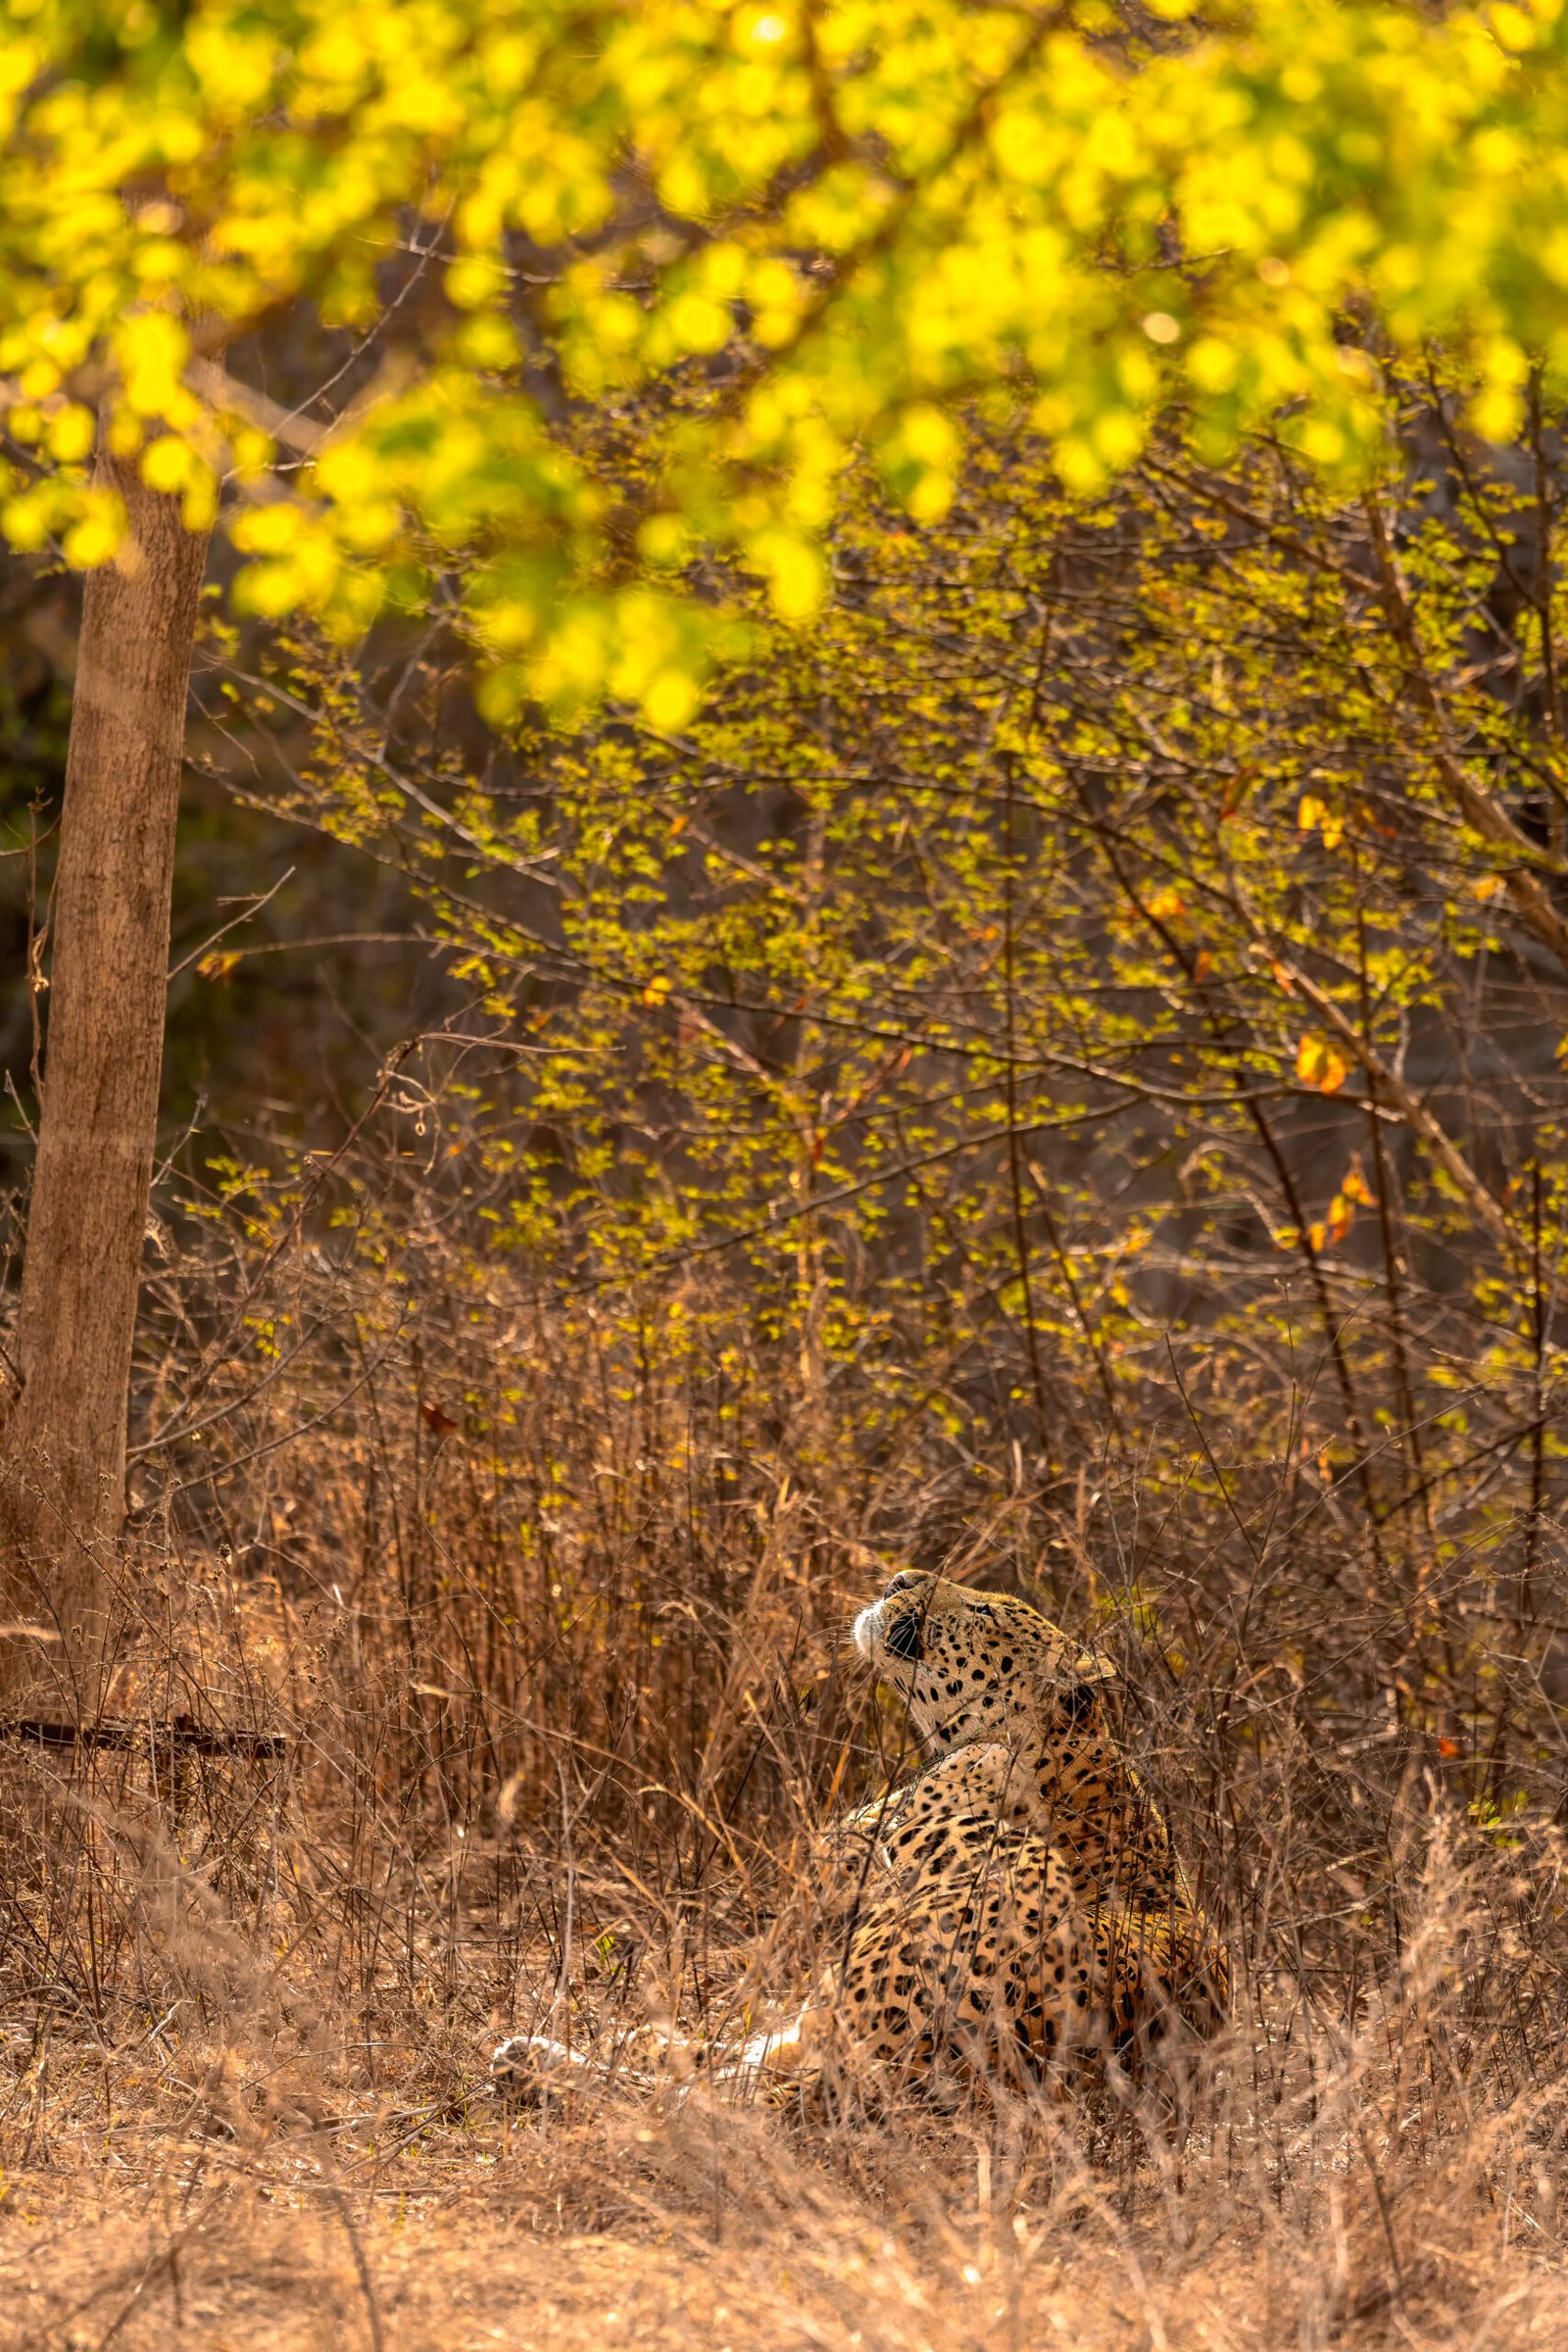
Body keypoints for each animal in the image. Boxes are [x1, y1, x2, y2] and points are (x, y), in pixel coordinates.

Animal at [490, 1569, 1228, 2110]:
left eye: (985, 1610)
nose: (900, 1577)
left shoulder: (862, 1849)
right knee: (733, 2067)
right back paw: (569, 2047)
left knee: (720, 2091)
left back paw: (539, 2060)